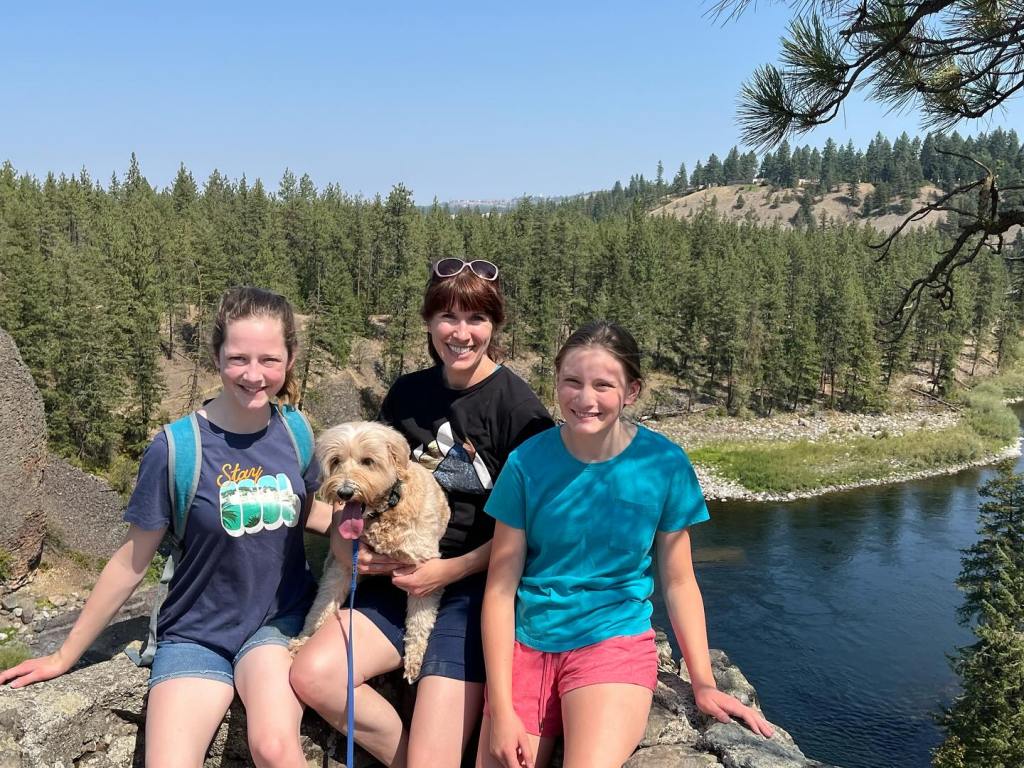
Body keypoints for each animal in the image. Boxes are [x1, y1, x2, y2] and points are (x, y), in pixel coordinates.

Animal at [291, 421, 451, 682]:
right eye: (335, 460)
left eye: (368, 461)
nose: (344, 492)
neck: (387, 511)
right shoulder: (344, 565)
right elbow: (321, 604)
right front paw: (305, 638)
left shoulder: (421, 572)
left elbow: (419, 620)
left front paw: (414, 659)